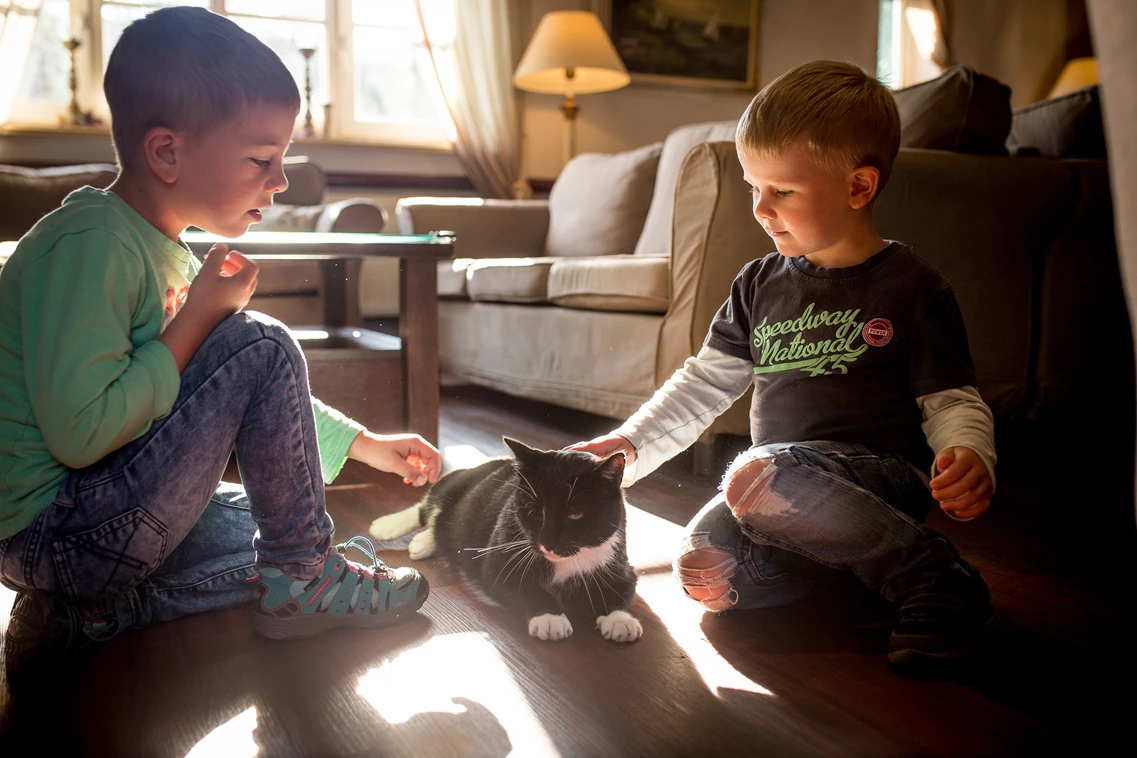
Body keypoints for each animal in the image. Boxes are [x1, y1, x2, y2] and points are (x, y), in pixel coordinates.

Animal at [370, 436, 641, 645]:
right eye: (534, 510)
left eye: (575, 513)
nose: (547, 542)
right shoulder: (499, 559)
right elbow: (526, 587)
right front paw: (550, 618)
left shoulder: (618, 560)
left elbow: (622, 587)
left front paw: (620, 620)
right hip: (455, 482)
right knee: (427, 506)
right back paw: (390, 527)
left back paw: (426, 539)